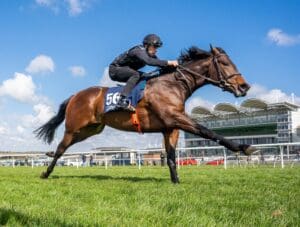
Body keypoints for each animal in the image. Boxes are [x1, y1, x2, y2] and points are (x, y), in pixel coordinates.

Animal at [35, 45, 255, 184]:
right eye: (225, 63)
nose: (244, 86)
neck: (173, 85)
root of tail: (76, 95)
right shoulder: (177, 119)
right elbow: (208, 132)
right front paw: (243, 147)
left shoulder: (170, 128)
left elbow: (171, 156)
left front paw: (176, 181)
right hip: (74, 127)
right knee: (61, 148)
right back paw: (46, 172)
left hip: (91, 130)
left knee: (64, 147)